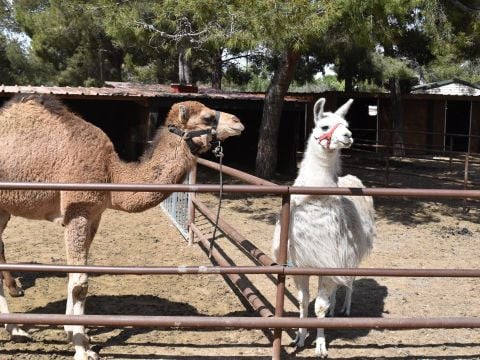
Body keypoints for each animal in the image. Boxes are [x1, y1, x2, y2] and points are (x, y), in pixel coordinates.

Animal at [0, 94, 242, 358]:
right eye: (207, 117)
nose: (238, 121)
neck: (111, 174)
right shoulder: (77, 211)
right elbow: (80, 283)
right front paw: (82, 348)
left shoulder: (95, 215)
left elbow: (73, 277)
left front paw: (73, 334)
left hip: (3, 210)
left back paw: (16, 329)